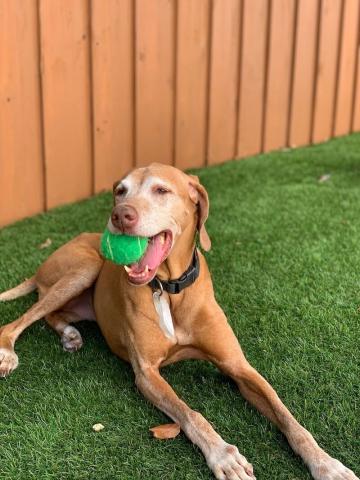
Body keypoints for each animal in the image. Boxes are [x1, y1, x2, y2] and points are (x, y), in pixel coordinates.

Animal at [0, 163, 358, 478]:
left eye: (161, 190)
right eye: (120, 191)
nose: (120, 215)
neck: (170, 289)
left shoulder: (239, 366)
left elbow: (289, 418)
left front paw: (326, 463)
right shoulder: (146, 373)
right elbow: (191, 414)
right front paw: (223, 455)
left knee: (53, 314)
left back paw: (71, 335)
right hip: (83, 268)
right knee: (20, 320)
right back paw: (9, 353)